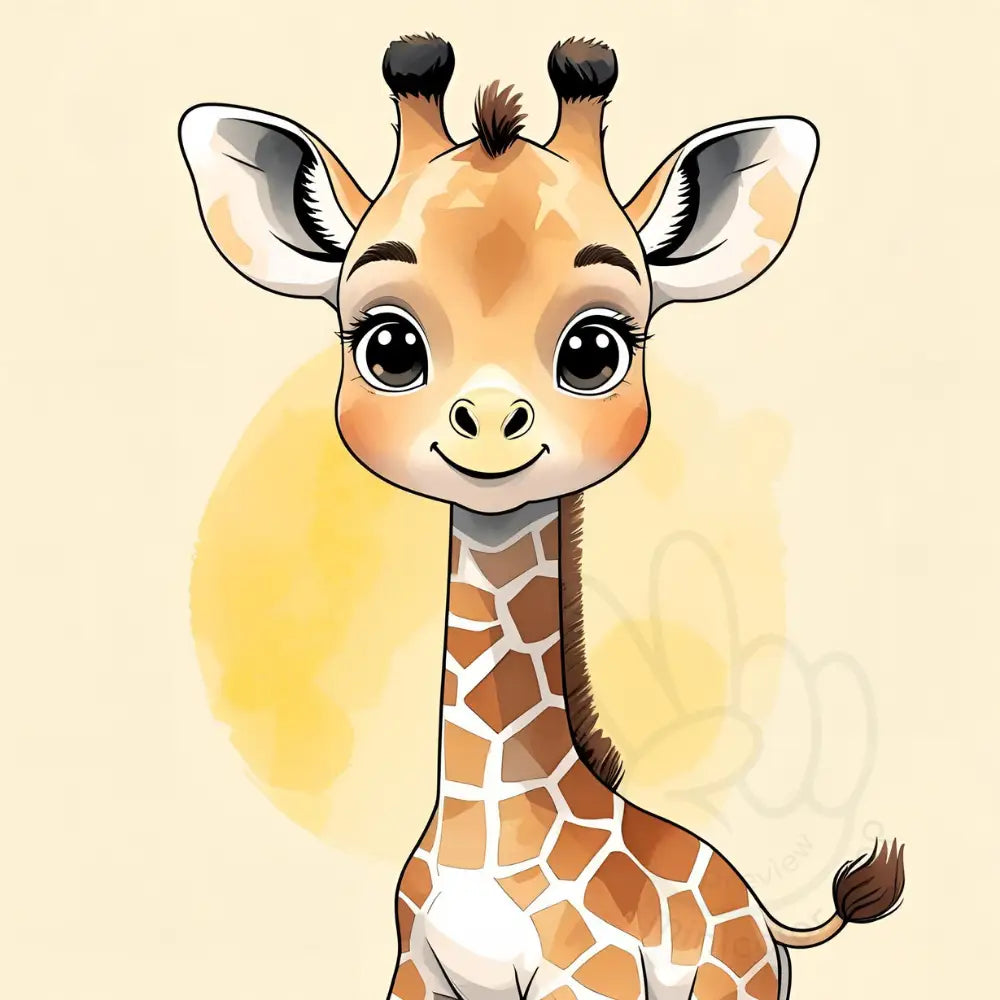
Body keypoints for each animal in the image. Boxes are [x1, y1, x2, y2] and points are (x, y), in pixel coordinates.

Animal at [178, 33, 905, 1000]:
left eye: (595, 348)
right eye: (389, 344)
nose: (490, 422)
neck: (489, 838)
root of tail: (766, 914)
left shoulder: (587, 979)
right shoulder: (416, 970)